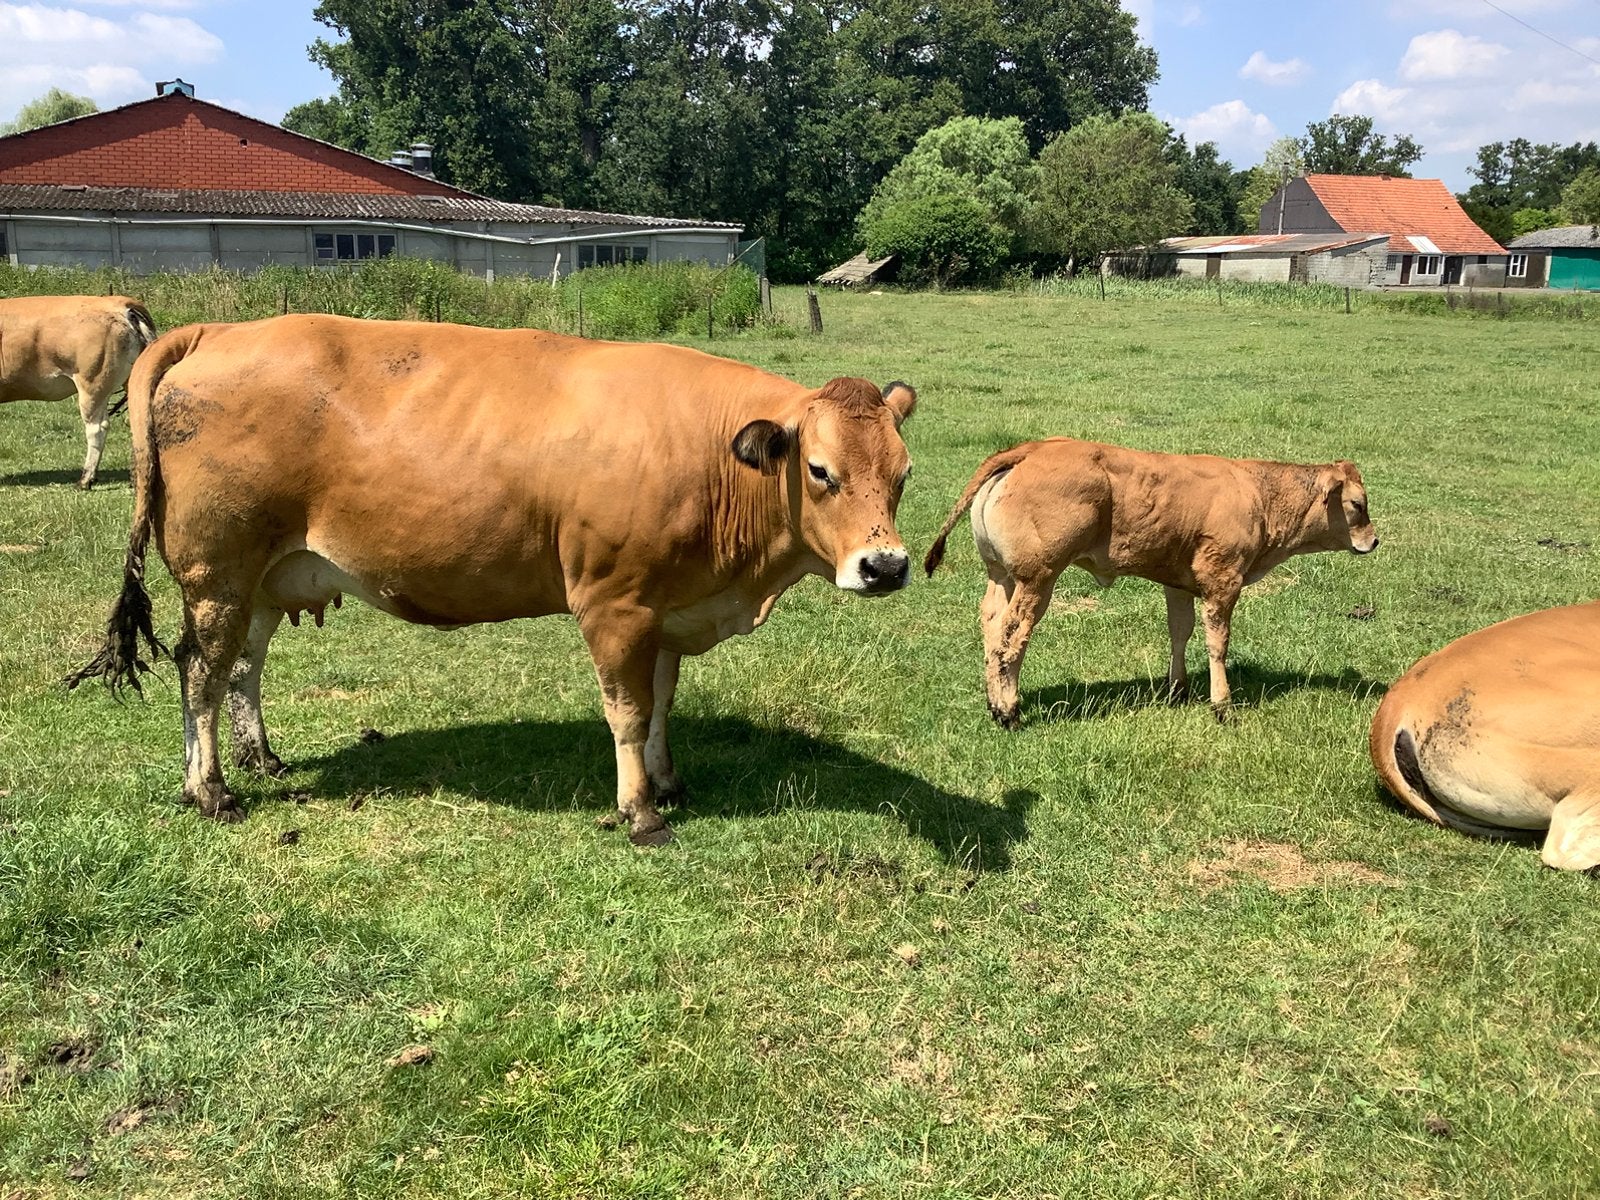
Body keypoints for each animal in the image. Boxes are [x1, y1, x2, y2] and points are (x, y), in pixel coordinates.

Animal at [68, 314, 917, 844]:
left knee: (243, 666)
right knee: (201, 672)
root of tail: (217, 331)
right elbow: (628, 713)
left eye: (904, 473)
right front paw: (641, 812)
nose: (885, 565)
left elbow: (663, 704)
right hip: (217, 572)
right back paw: (210, 789)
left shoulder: (666, 606)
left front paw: (667, 781)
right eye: (820, 470)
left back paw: (261, 758)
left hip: (268, 575)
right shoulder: (613, 604)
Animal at [923, 438, 1379, 726]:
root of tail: (1032, 449)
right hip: (1038, 579)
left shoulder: (1177, 582)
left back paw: (993, 703)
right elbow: (1217, 643)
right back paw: (1009, 712)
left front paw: (1178, 690)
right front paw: (1222, 706)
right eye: (1357, 504)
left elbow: (1180, 632)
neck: (1257, 495)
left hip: (1001, 575)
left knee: (990, 626)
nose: (1373, 541)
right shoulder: (1222, 580)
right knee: (1011, 638)